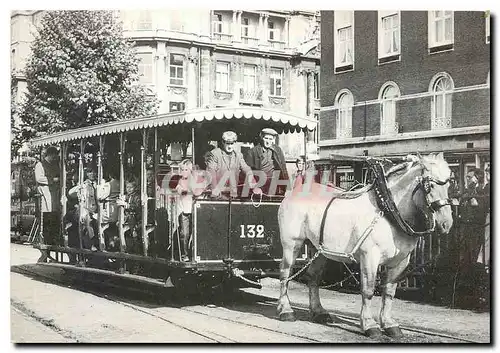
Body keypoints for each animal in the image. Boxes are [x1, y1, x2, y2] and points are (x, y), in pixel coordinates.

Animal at [276, 153, 456, 336]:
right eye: (429, 186)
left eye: (449, 183)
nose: (446, 224)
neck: (388, 211)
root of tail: (295, 190)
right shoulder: (370, 257)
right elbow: (368, 290)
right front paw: (370, 325)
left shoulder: (400, 262)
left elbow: (389, 291)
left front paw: (389, 324)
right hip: (292, 244)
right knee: (285, 273)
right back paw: (286, 310)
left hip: (320, 250)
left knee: (313, 276)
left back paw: (319, 312)